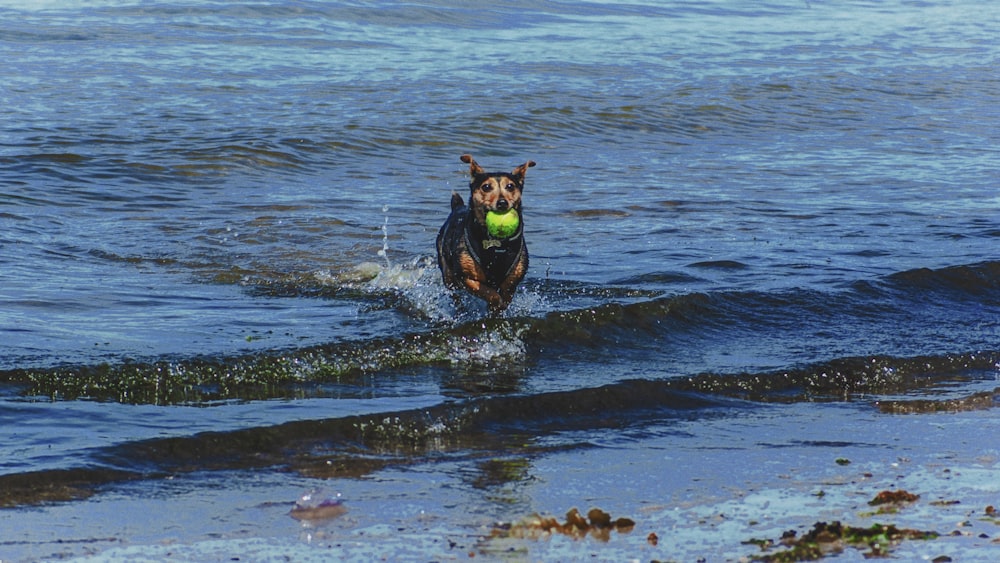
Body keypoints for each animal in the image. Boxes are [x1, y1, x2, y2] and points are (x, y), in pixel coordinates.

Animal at [434, 154, 536, 316]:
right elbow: (489, 293)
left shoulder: (512, 281)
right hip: (448, 274)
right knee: (454, 293)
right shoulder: (465, 277)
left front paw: (499, 308)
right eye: (486, 187)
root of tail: (457, 207)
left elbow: (505, 294)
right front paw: (496, 302)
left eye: (510, 186)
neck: (497, 244)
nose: (502, 203)